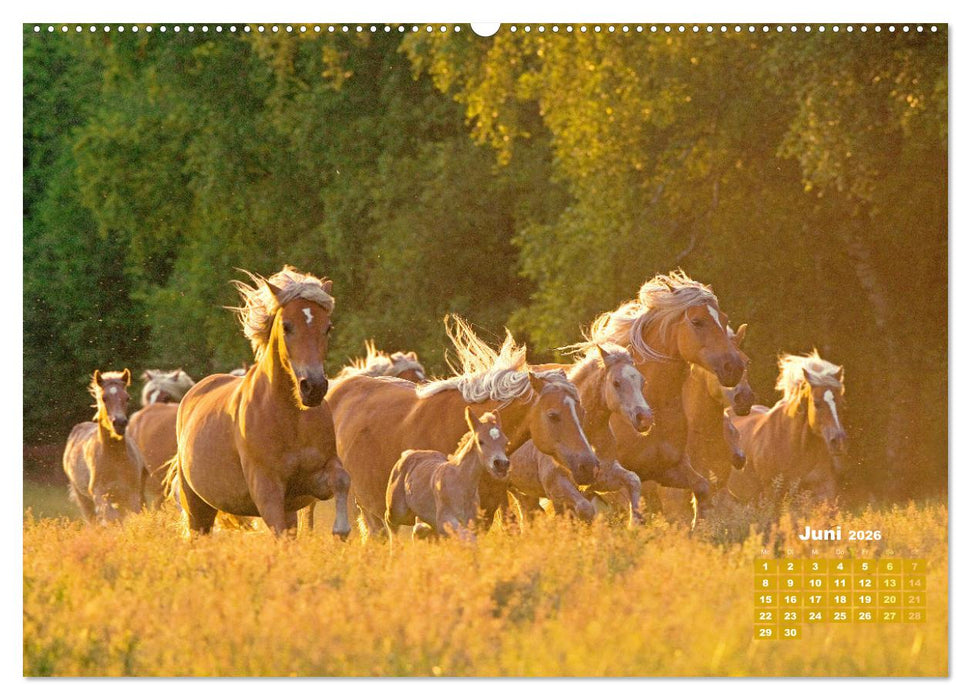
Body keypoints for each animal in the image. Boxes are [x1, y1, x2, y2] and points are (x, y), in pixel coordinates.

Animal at [62, 369, 146, 524]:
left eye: (127, 398)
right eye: (104, 398)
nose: (120, 423)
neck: (115, 458)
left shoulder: (132, 494)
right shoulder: (99, 494)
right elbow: (113, 518)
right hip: (83, 499)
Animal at [168, 266, 351, 538]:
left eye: (328, 327)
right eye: (287, 326)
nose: (314, 387)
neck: (291, 417)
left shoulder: (311, 481)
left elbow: (341, 479)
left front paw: (341, 529)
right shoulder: (267, 490)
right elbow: (279, 534)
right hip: (197, 507)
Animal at [386, 407, 509, 541]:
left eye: (506, 442)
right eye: (480, 441)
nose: (501, 464)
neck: (461, 483)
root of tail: (407, 454)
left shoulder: (471, 522)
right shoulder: (445, 521)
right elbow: (467, 538)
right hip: (398, 511)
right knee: (390, 522)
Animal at [500, 343, 653, 524]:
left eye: (642, 381)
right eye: (616, 382)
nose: (645, 418)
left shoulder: (602, 477)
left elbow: (633, 480)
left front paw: (635, 522)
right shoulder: (556, 485)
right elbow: (585, 509)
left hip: (522, 492)